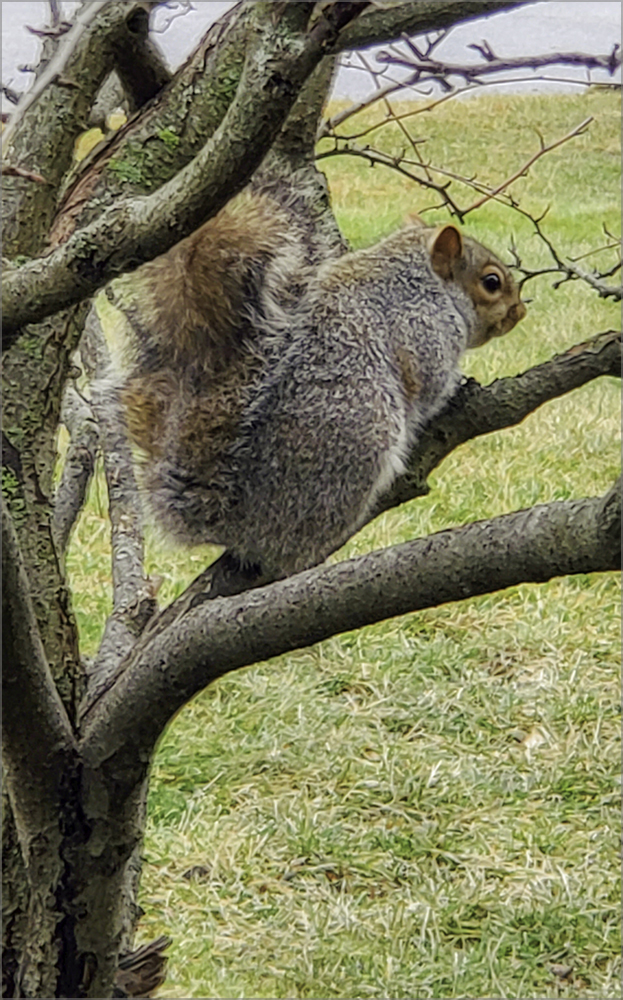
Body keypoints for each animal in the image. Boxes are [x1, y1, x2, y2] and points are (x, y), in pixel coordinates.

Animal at [99, 192, 526, 581]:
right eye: (492, 282)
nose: (520, 313)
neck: (419, 278)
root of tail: (232, 520)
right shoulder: (422, 328)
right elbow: (428, 384)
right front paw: (458, 386)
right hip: (361, 437)